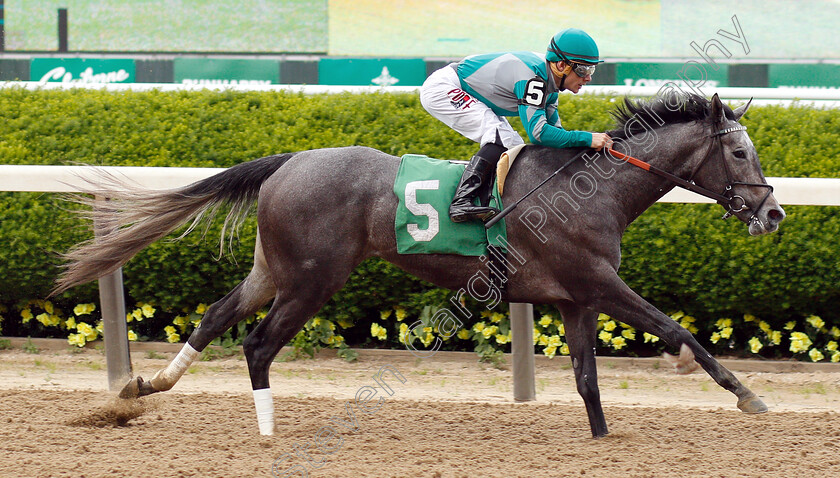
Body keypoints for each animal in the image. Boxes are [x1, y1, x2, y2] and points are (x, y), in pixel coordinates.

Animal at [54, 91, 788, 438]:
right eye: (741, 153)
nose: (774, 212)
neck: (590, 187)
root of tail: (290, 161)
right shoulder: (597, 282)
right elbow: (679, 330)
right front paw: (749, 396)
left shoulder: (573, 298)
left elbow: (587, 381)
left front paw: (604, 441)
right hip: (314, 279)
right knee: (258, 344)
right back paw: (265, 430)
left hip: (275, 269)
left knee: (214, 317)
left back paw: (141, 389)